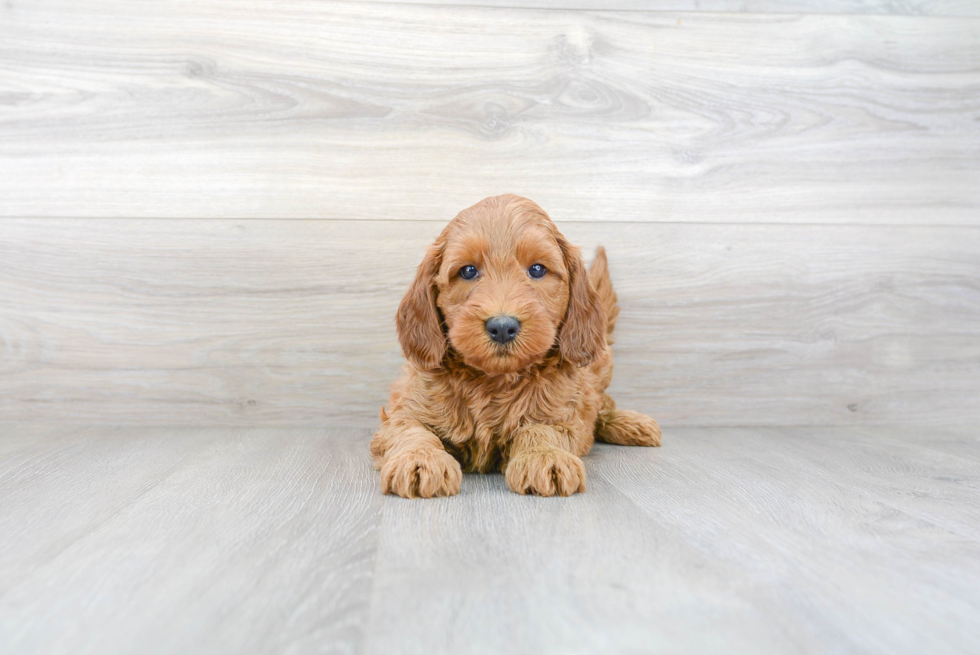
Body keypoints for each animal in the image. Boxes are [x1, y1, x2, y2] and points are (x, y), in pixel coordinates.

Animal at [372, 195, 664, 498]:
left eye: (537, 269)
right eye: (468, 271)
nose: (502, 326)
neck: (493, 380)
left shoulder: (563, 415)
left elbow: (542, 429)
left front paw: (545, 456)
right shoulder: (406, 410)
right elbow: (411, 430)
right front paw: (419, 460)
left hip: (600, 362)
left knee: (601, 404)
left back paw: (630, 424)